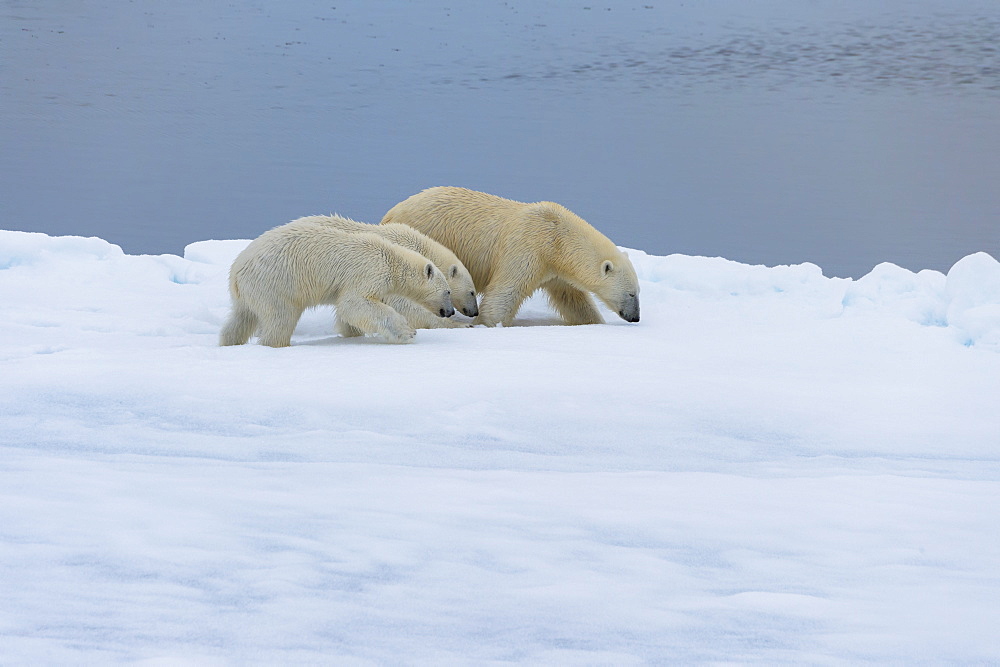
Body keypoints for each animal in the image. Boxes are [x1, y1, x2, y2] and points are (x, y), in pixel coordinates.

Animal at [221, 219, 456, 348]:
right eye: (448, 292)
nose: (450, 312)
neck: (391, 258)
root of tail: (236, 272)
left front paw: (353, 334)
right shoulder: (368, 271)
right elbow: (354, 303)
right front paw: (407, 332)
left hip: (250, 292)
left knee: (240, 319)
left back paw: (229, 342)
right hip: (275, 284)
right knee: (280, 318)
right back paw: (279, 343)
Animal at [382, 187, 640, 328]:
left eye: (638, 292)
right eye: (631, 293)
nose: (636, 317)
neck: (556, 236)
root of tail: (390, 213)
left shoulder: (555, 268)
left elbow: (573, 299)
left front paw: (595, 322)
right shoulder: (528, 247)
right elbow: (506, 291)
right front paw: (487, 324)